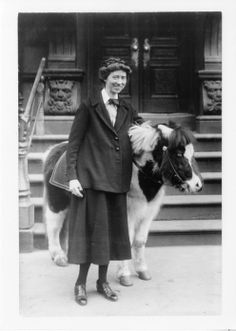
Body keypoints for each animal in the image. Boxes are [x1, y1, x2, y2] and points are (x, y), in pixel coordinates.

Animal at [42, 122, 203, 288]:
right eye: (179, 154)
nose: (198, 185)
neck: (138, 176)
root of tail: (52, 151)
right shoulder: (127, 215)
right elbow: (127, 240)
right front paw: (124, 275)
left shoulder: (147, 214)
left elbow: (139, 241)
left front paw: (142, 270)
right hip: (57, 203)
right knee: (54, 227)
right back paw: (58, 256)